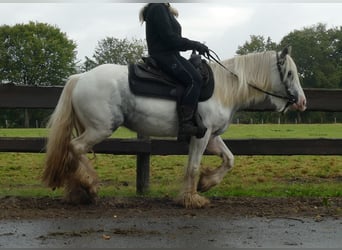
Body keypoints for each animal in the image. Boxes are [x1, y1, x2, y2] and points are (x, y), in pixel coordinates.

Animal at [42, 46, 308, 208]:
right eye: (290, 73)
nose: (302, 102)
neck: (224, 88)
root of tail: (80, 78)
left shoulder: (211, 136)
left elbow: (229, 159)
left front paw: (206, 183)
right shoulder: (201, 137)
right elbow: (193, 166)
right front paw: (191, 199)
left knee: (73, 152)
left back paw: (78, 192)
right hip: (101, 128)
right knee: (75, 148)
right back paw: (90, 185)